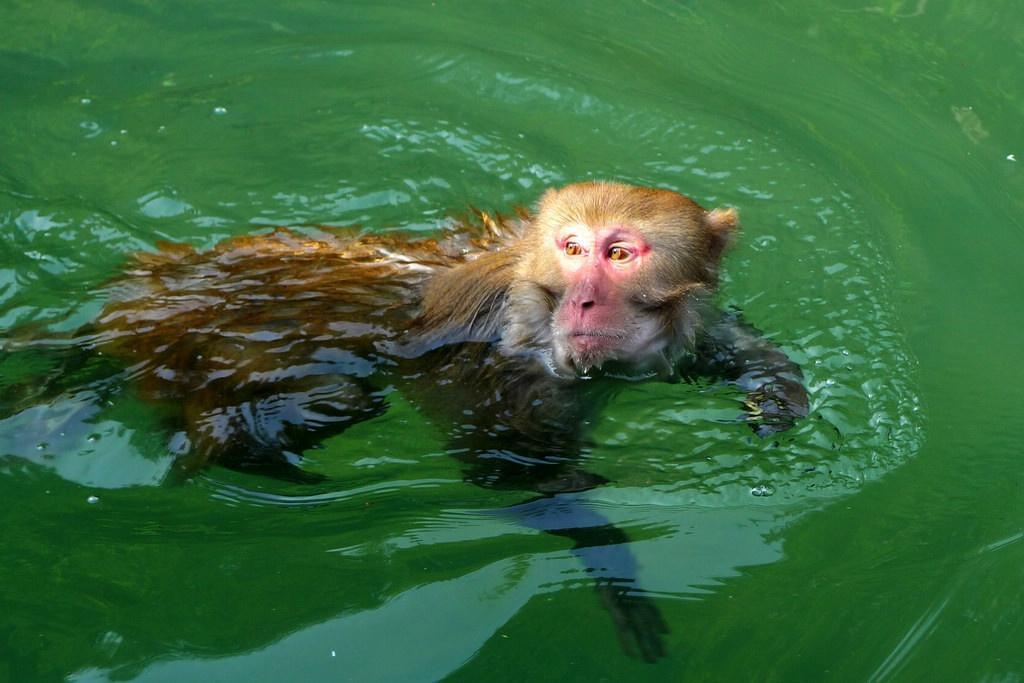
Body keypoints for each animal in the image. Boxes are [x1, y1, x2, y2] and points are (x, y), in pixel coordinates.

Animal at [6, 181, 806, 663]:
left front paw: (776, 393)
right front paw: (614, 566)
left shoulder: (664, 341)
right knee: (336, 399)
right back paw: (238, 447)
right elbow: (507, 470)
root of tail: (139, 299)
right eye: (572, 249)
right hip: (207, 342)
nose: (582, 301)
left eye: (619, 253)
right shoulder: (508, 372)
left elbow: (716, 352)